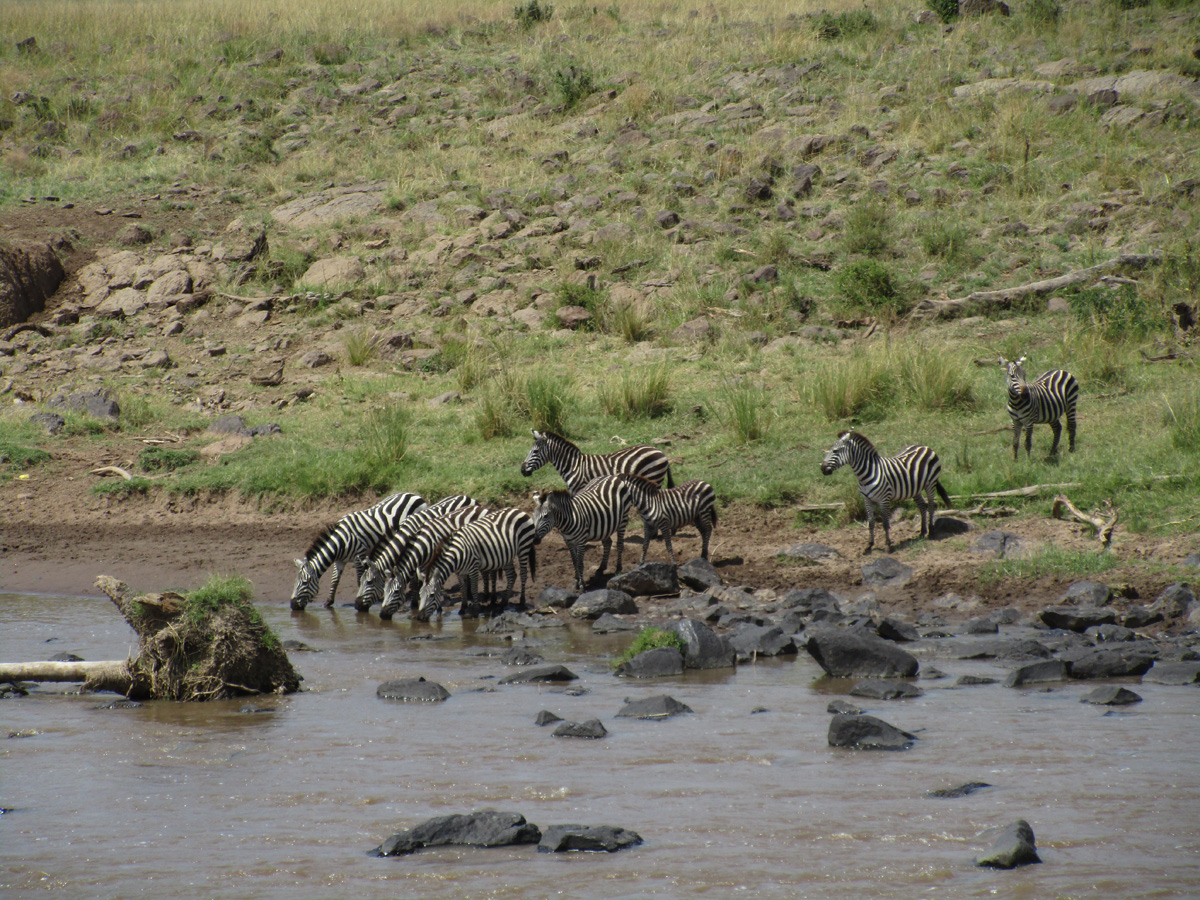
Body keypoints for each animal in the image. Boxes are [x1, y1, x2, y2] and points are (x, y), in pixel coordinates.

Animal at [289, 491, 426, 610]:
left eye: (305, 583)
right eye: (295, 582)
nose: (292, 605)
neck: (341, 541)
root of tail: (415, 495)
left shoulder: (359, 555)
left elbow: (359, 578)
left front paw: (361, 595)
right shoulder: (340, 560)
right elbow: (335, 579)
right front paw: (329, 602)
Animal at [520, 429, 674, 494]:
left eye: (535, 452)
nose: (522, 470)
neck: (573, 466)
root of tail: (661, 452)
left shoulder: (580, 488)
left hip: (654, 477)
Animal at [820, 431, 950, 555]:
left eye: (835, 451)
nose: (822, 469)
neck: (866, 475)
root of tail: (924, 446)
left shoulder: (884, 499)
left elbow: (885, 523)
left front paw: (888, 545)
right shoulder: (867, 500)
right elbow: (871, 523)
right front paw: (869, 546)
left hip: (930, 484)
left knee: (931, 506)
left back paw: (931, 531)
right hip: (915, 488)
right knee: (922, 506)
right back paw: (923, 532)